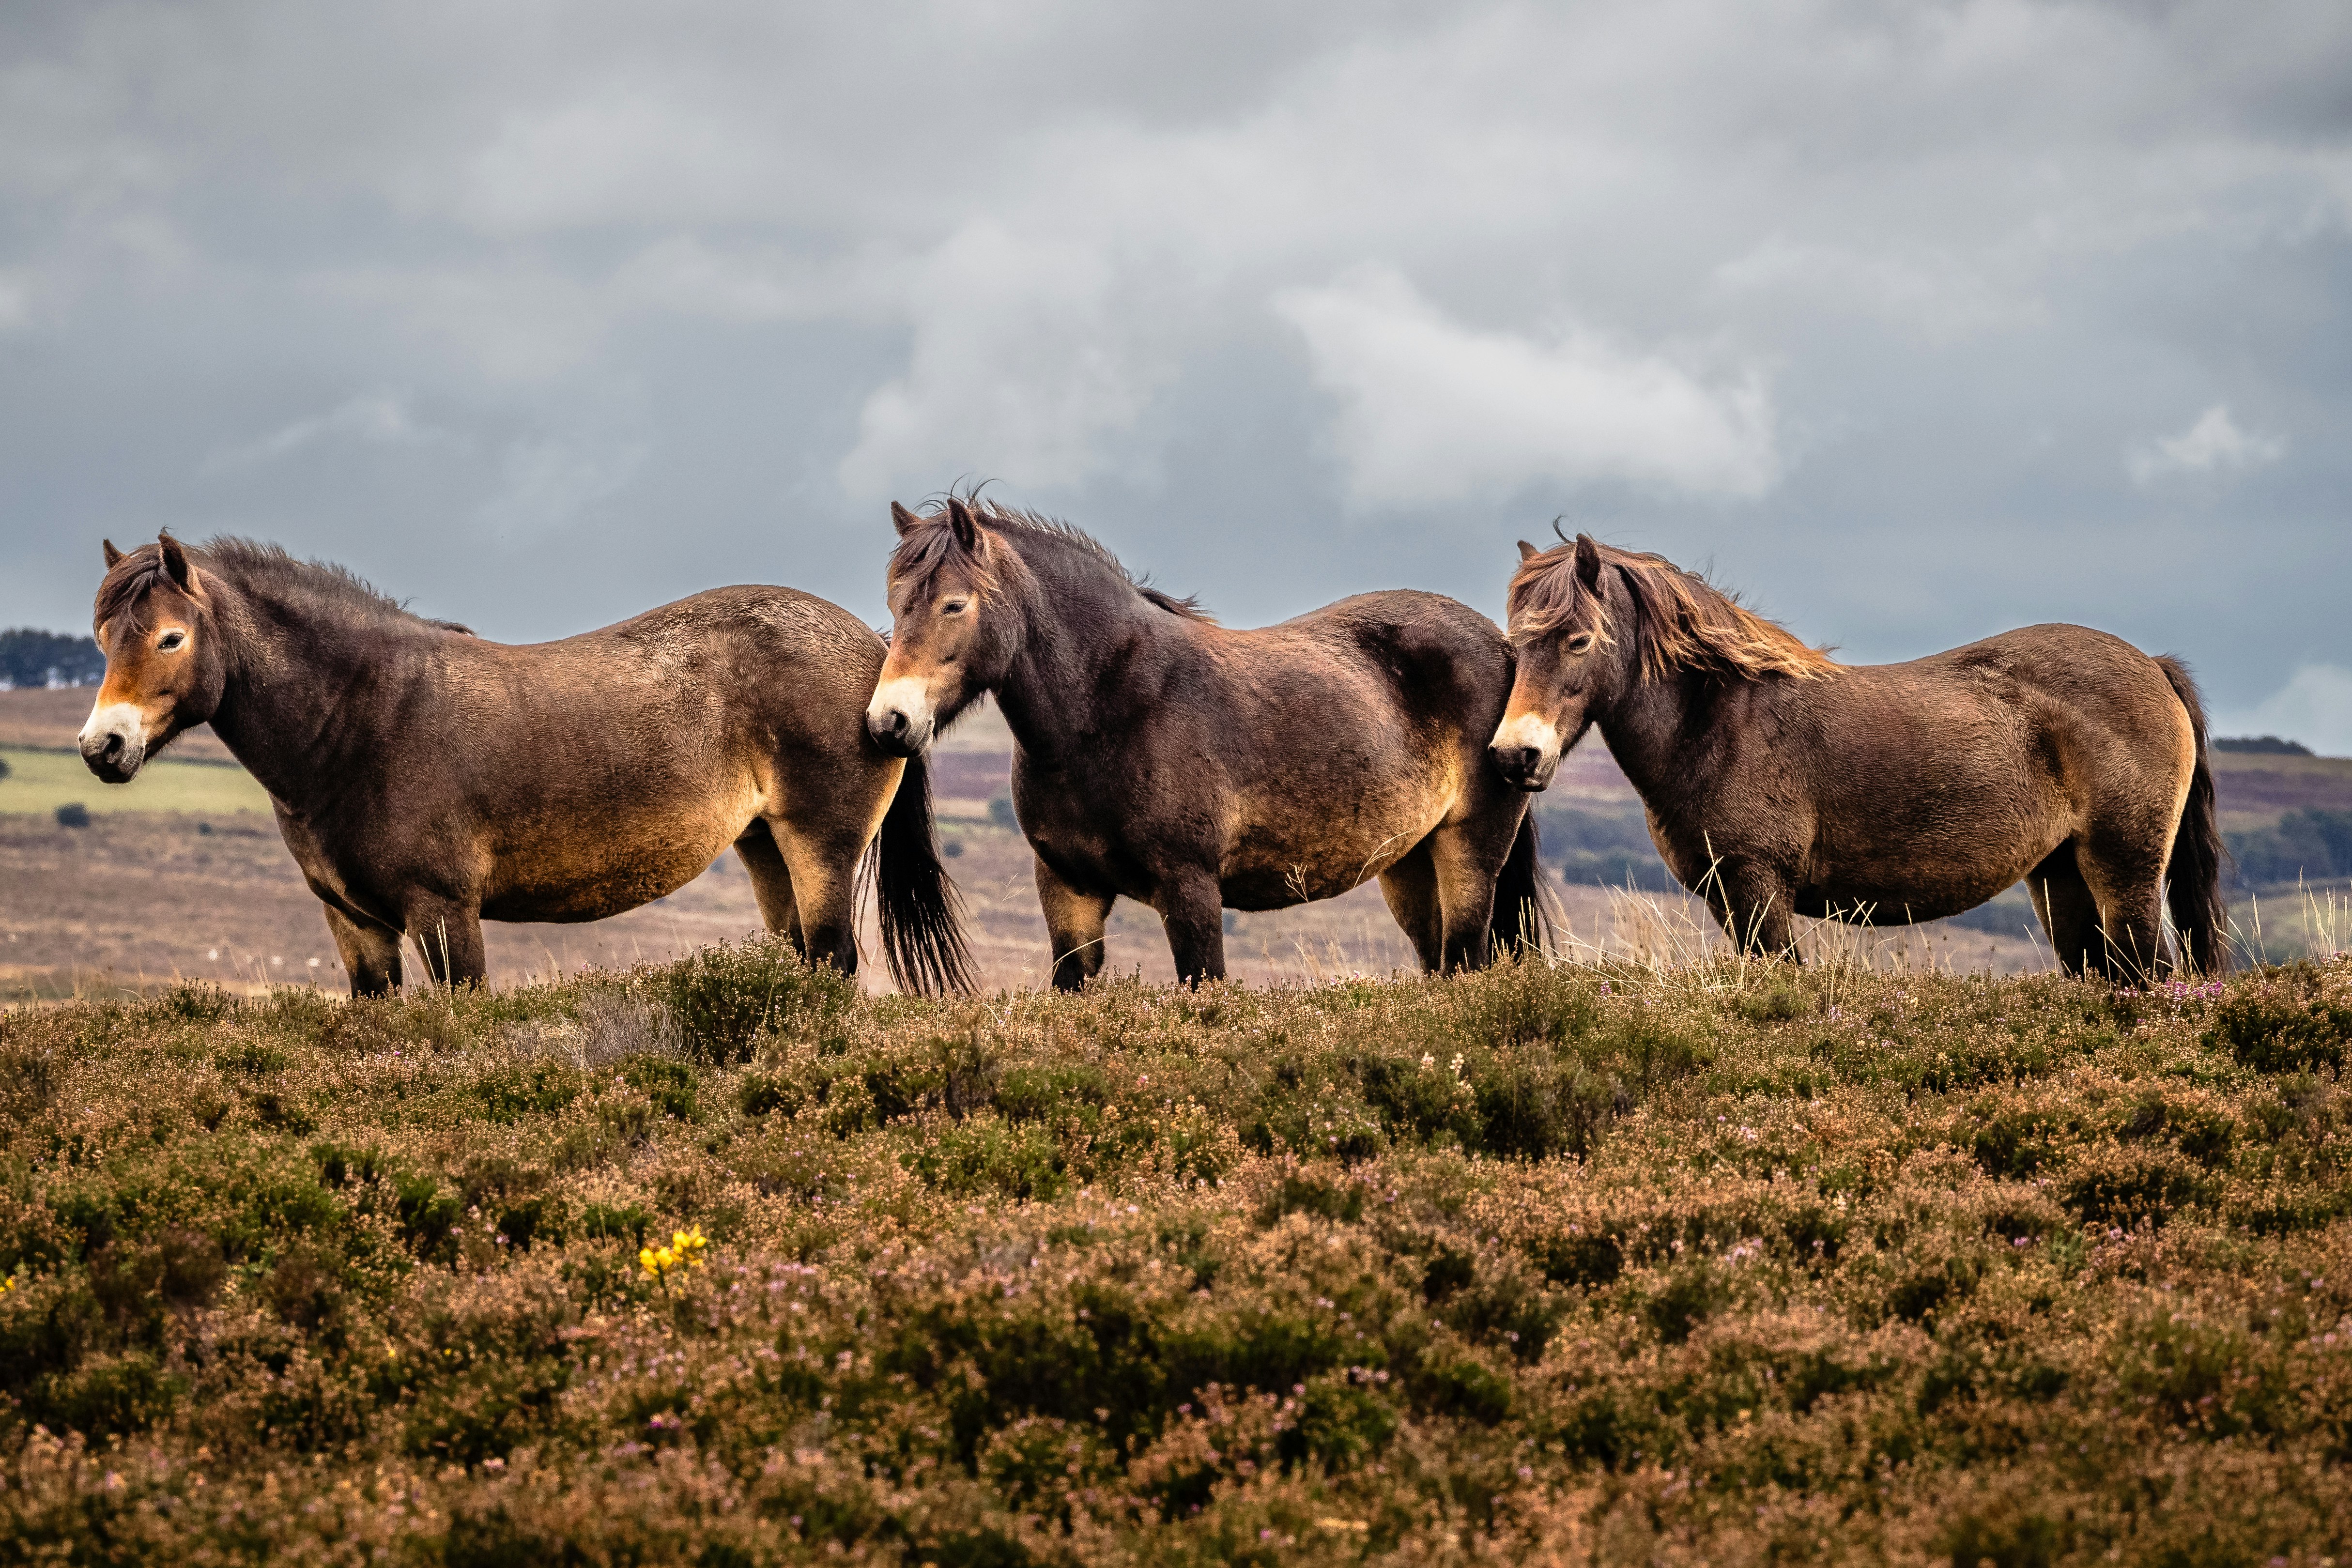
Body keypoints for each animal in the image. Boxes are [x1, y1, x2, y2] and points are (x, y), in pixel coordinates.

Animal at [80, 535, 974, 996]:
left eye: (171, 637)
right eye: (102, 637)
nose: (102, 747)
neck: (364, 718)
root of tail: (878, 660)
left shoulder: (443, 912)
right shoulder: (356, 926)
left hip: (820, 846)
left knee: (832, 960)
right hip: (763, 846)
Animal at [862, 496, 1543, 990]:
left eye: (955, 605)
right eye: (895, 602)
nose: (889, 720)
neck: (1111, 708)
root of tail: (1503, 646)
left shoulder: (1191, 890)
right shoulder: (1067, 891)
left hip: (1468, 854)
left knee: (1466, 957)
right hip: (1410, 863)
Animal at [1488, 533, 2226, 979]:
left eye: (1579, 640)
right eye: (1515, 643)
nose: (1515, 755)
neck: (1718, 721)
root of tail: (2153, 667)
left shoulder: (1761, 890)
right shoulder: (1729, 899)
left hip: (2125, 875)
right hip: (2061, 878)